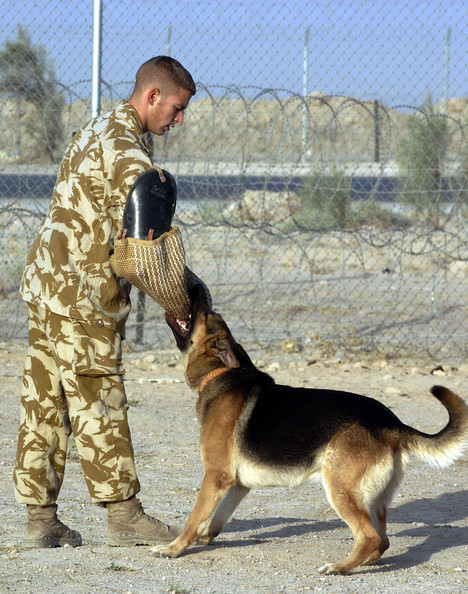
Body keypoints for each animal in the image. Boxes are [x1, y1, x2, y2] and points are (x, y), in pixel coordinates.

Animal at [154, 284, 468, 572]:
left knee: (369, 537)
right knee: (383, 540)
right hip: (374, 499)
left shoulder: (215, 476)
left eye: (205, 314)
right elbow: (217, 518)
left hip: (340, 489)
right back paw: (363, 563)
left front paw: (174, 548)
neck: (221, 373)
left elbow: (195, 516)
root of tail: (390, 423)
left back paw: (339, 567)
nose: (195, 287)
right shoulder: (237, 484)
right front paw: (205, 537)